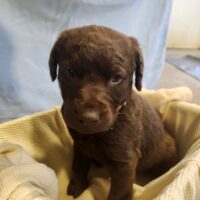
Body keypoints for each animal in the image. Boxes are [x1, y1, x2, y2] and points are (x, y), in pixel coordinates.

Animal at [48, 25, 177, 200]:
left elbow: (119, 192)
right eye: (70, 72)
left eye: (116, 79)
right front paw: (78, 188)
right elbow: (79, 167)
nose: (88, 118)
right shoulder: (80, 146)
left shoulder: (125, 163)